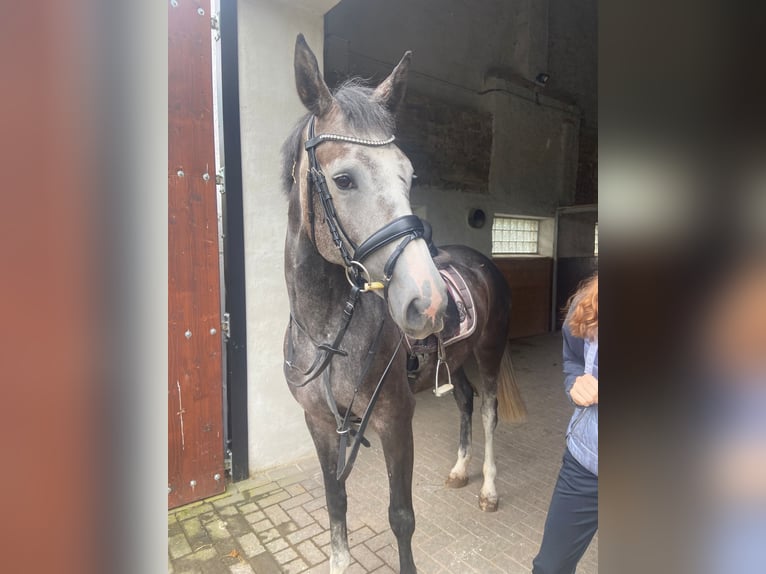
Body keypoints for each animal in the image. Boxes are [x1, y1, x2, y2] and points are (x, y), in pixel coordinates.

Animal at [282, 33, 528, 572]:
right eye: (344, 180)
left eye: (409, 176)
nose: (429, 302)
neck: (328, 335)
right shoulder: (319, 425)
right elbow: (336, 505)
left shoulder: (396, 422)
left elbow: (401, 517)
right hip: (454, 363)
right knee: (464, 403)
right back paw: (459, 470)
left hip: (487, 356)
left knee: (488, 412)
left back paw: (489, 489)